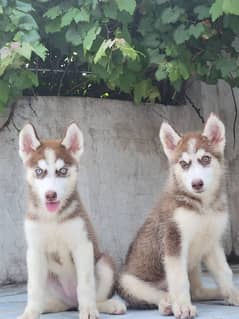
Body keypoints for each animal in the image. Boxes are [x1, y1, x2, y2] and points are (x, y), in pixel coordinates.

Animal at [17, 124, 126, 319]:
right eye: (39, 172)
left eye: (62, 171)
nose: (50, 195)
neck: (53, 218)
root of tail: (71, 302)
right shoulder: (35, 251)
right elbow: (34, 288)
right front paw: (30, 313)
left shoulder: (82, 245)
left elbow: (85, 285)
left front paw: (89, 311)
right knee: (57, 303)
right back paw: (46, 306)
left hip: (104, 263)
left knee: (94, 296)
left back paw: (107, 305)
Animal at [117, 114, 239, 318]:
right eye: (184, 164)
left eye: (205, 159)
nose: (196, 184)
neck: (202, 206)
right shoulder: (173, 241)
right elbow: (179, 280)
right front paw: (182, 306)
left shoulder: (212, 242)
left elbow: (225, 272)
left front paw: (233, 295)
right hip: (128, 281)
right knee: (160, 294)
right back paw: (168, 304)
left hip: (194, 264)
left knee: (197, 292)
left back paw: (213, 293)